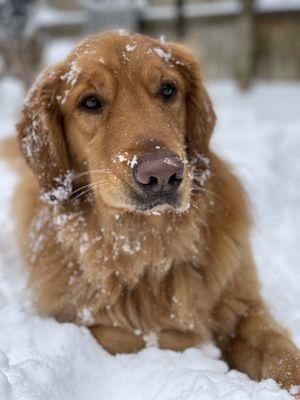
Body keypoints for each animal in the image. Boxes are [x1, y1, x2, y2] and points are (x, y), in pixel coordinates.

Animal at [14, 31, 300, 394]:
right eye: (90, 102)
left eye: (167, 89)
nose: (163, 174)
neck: (148, 242)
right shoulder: (79, 320)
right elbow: (126, 335)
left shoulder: (244, 311)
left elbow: (281, 354)